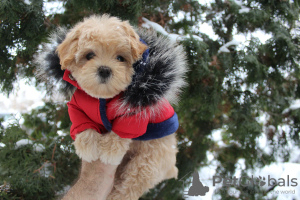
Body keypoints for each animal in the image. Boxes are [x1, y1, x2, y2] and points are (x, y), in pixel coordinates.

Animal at [38, 14, 186, 200]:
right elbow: (82, 124)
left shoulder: (135, 111)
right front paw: (88, 147)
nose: (104, 70)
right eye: (89, 55)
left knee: (129, 186)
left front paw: (110, 151)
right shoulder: (76, 106)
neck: (103, 97)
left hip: (147, 163)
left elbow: (121, 132)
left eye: (120, 58)